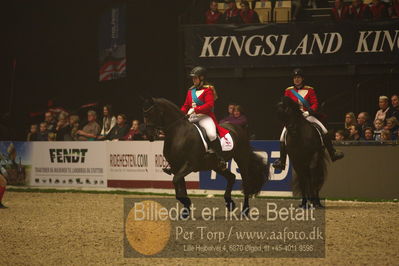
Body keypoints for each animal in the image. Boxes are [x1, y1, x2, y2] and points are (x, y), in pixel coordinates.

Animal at [142, 96, 270, 217]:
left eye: (150, 113)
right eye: (144, 114)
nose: (149, 135)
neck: (179, 134)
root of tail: (238, 128)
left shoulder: (189, 165)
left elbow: (176, 182)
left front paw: (187, 204)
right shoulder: (176, 167)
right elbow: (180, 187)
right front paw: (185, 211)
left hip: (241, 158)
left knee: (246, 183)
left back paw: (245, 211)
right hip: (216, 165)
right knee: (232, 177)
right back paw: (229, 203)